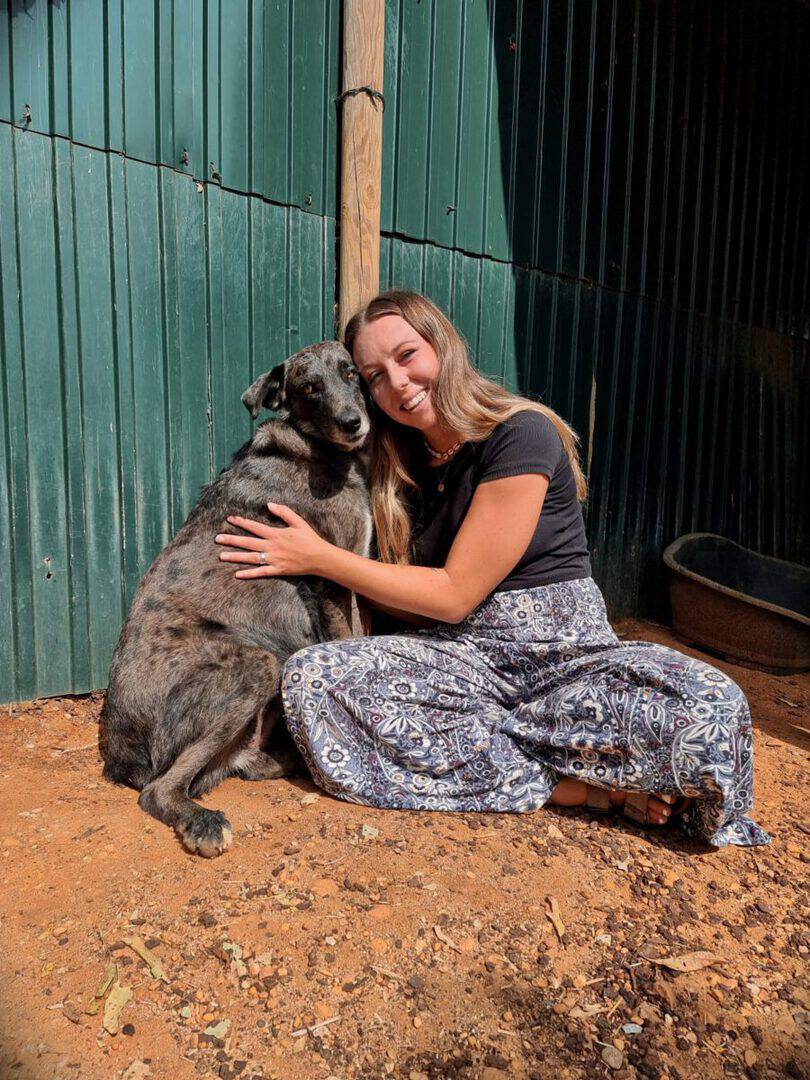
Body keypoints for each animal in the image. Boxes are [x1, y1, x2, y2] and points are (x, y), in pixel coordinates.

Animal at [99, 341, 372, 857]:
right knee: (159, 789)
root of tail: (118, 751)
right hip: (256, 665)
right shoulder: (330, 578)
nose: (353, 423)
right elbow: (349, 643)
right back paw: (201, 820)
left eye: (351, 372)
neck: (308, 448)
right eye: (310, 388)